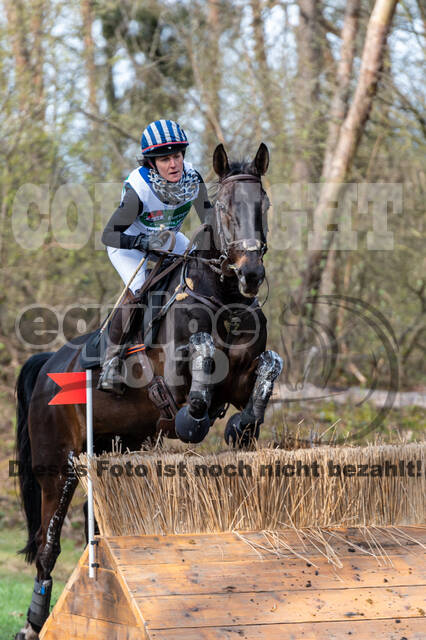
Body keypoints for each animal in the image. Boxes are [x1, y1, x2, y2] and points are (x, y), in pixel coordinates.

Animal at [14, 142, 282, 636]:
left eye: (265, 205)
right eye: (222, 208)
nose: (251, 274)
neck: (224, 298)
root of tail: (48, 366)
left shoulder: (243, 377)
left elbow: (268, 368)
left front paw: (243, 427)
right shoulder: (173, 382)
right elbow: (198, 371)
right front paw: (195, 419)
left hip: (113, 449)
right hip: (57, 465)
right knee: (47, 542)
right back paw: (34, 620)